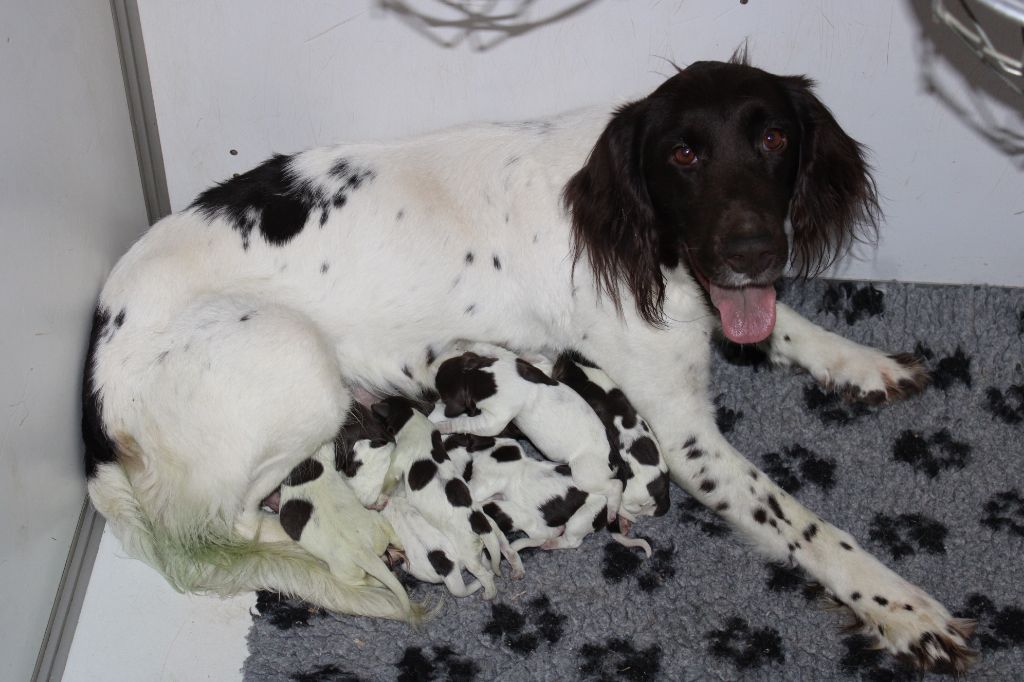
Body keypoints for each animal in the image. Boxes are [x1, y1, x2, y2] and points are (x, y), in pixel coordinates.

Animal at [276, 440, 419, 622]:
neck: (309, 465)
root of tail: (362, 550)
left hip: (342, 572)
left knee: (364, 581)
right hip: (376, 524)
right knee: (391, 536)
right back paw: (398, 549)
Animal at [372, 395, 524, 598]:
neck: (413, 420)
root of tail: (480, 525)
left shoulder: (397, 464)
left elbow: (388, 483)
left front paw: (380, 501)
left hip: (470, 555)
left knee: (484, 574)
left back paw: (488, 593)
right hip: (494, 530)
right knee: (507, 551)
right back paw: (516, 568)